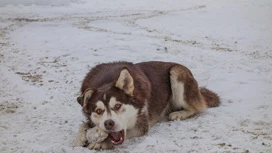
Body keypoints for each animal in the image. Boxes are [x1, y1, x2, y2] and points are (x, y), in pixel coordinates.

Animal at [72, 61, 219, 149]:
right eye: (98, 111)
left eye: (118, 106)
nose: (109, 123)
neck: (106, 80)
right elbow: (83, 124)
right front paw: (79, 138)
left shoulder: (141, 126)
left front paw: (102, 142)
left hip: (176, 72)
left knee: (197, 108)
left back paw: (179, 114)